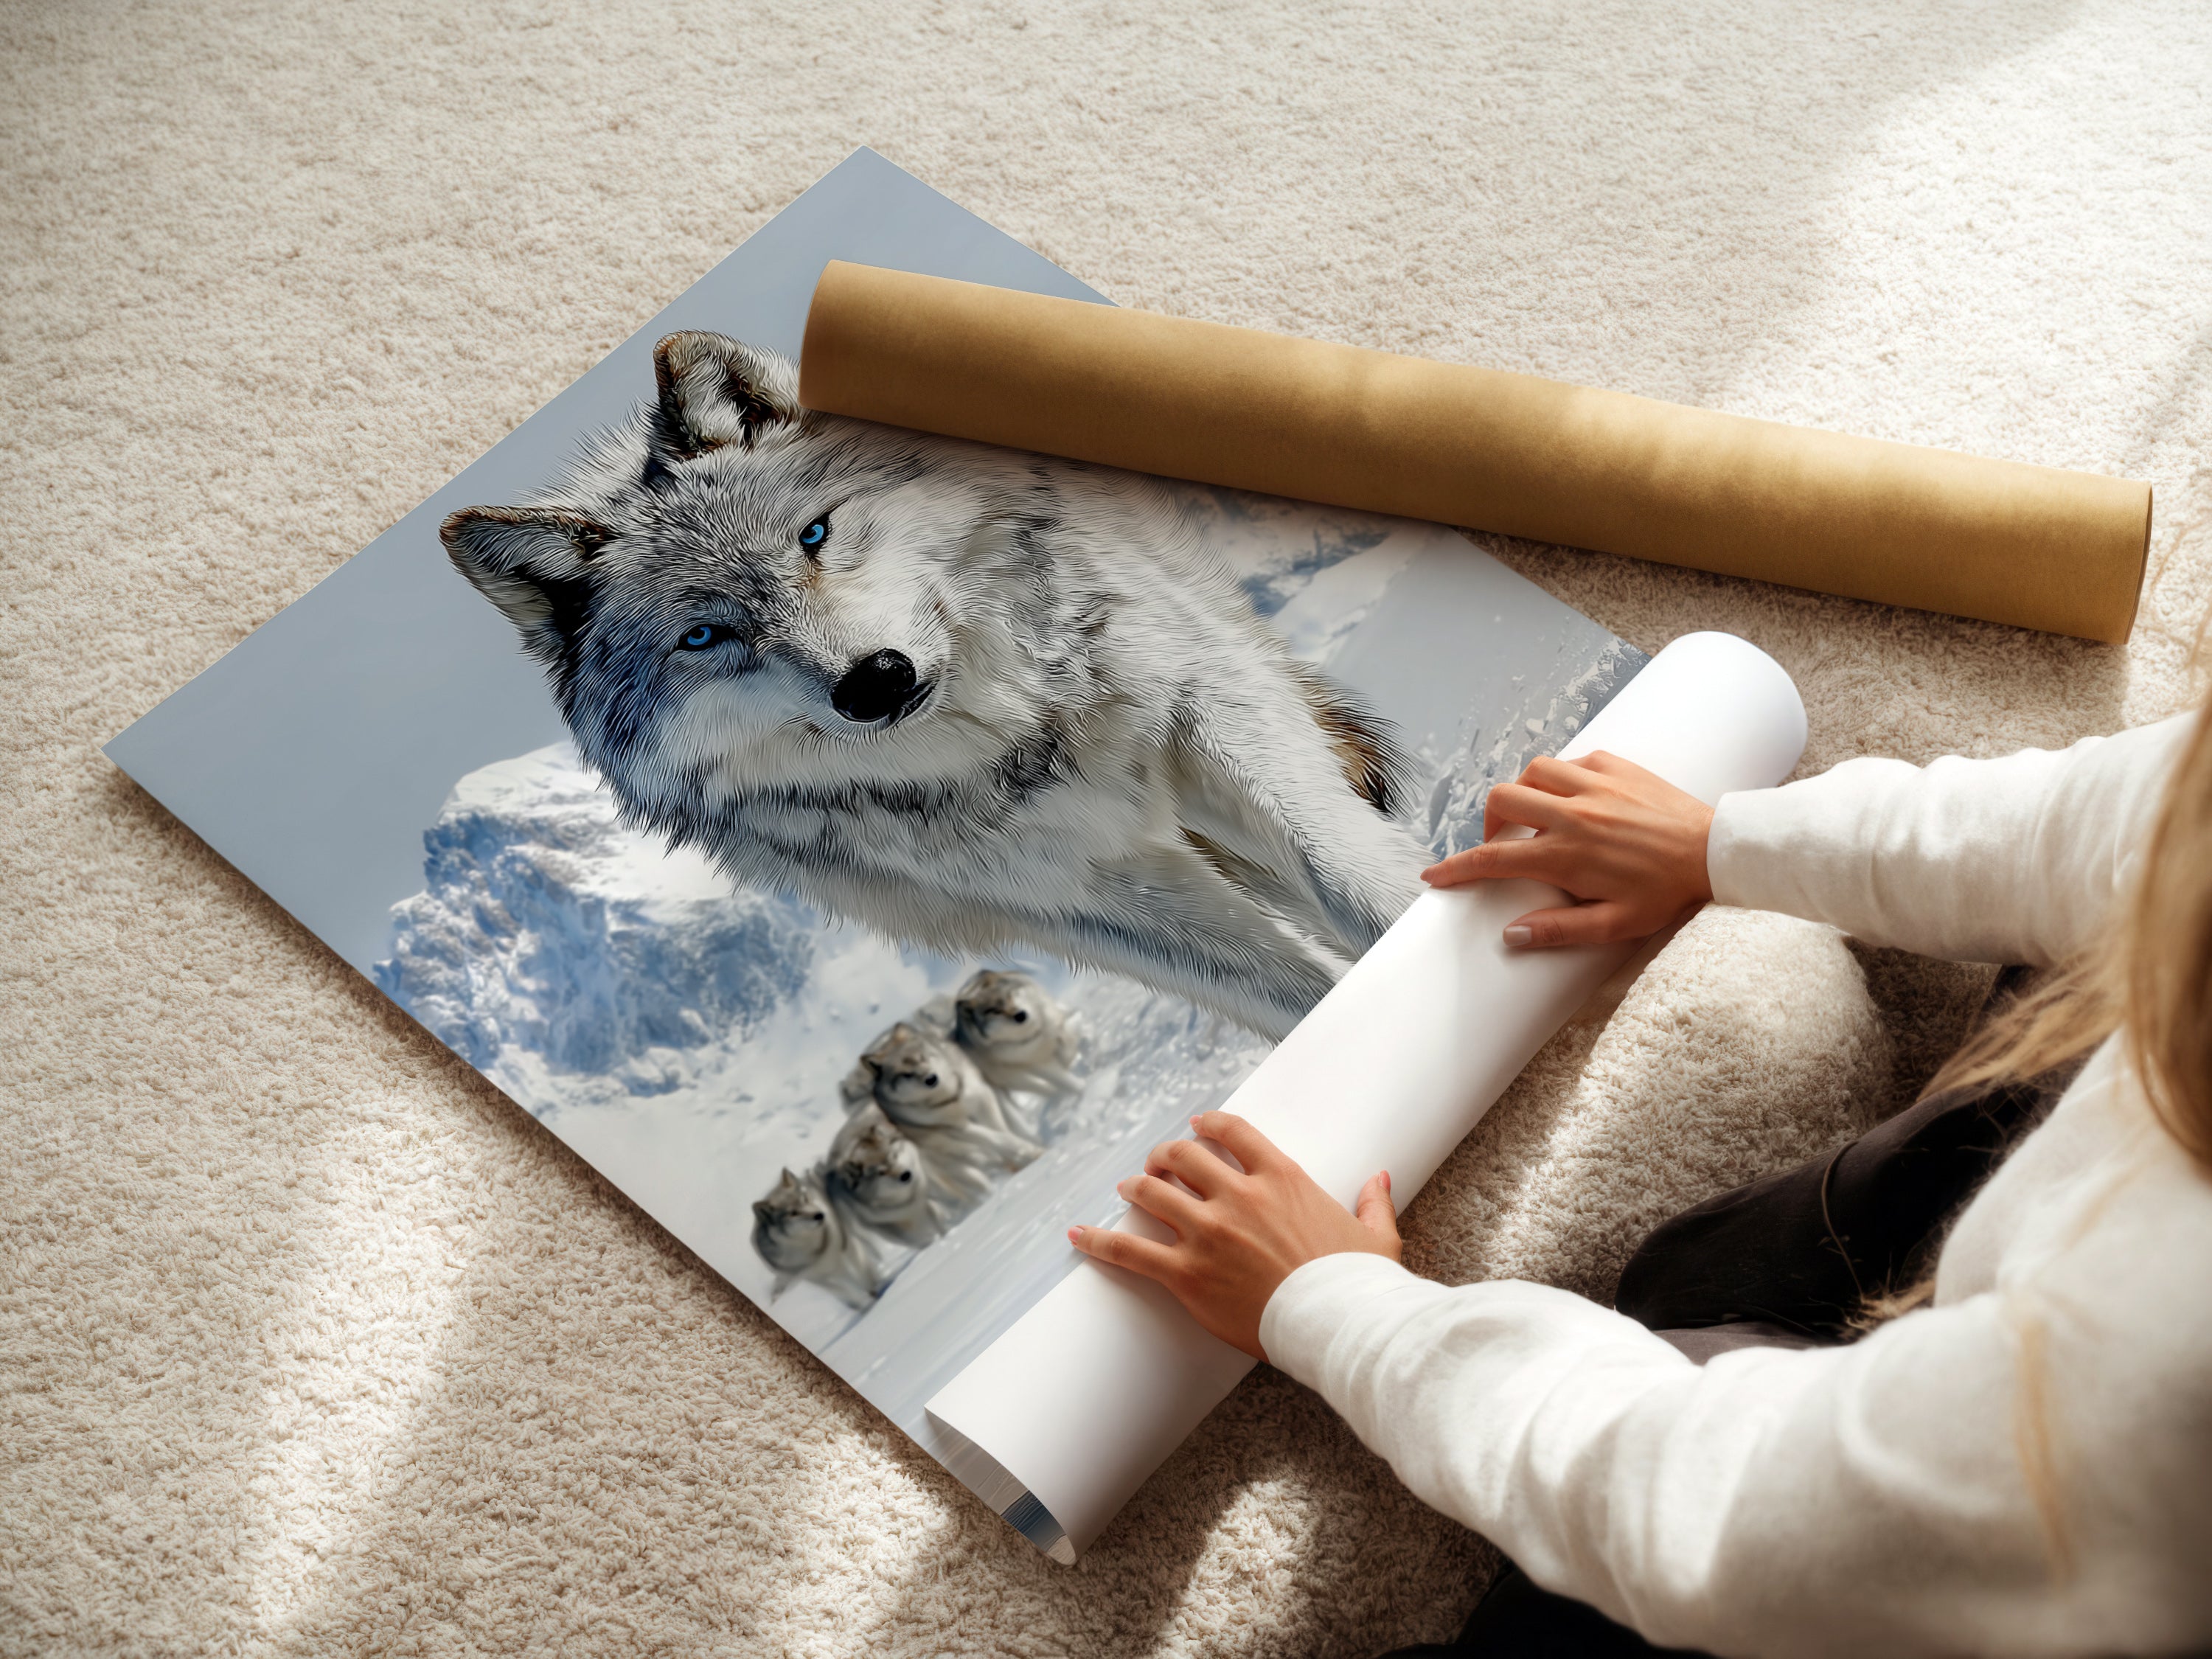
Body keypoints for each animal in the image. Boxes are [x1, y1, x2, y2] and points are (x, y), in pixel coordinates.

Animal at [443, 332, 1427, 1038]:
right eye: (705, 637)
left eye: (814, 536)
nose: (875, 682)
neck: (1020, 744)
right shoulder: (1089, 897)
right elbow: (1295, 992)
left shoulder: (1213, 717)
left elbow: (1346, 876)